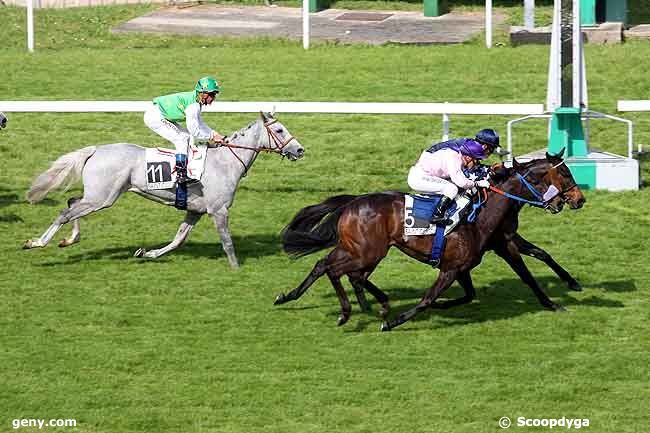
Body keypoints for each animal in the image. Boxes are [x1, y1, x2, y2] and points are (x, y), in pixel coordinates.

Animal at [22, 111, 302, 266]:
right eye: (279, 130)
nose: (300, 150)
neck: (226, 162)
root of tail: (96, 150)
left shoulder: (195, 210)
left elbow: (179, 239)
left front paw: (146, 253)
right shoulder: (218, 210)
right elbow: (227, 242)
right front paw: (236, 268)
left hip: (96, 195)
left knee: (71, 203)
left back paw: (69, 239)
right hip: (103, 198)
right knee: (65, 213)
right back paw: (36, 242)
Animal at [270, 152, 584, 330]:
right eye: (563, 173)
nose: (576, 200)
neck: (481, 213)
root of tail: (352, 202)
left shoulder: (481, 254)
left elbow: (533, 261)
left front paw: (565, 291)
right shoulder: (459, 264)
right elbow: (427, 299)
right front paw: (392, 323)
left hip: (358, 249)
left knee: (328, 265)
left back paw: (295, 296)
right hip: (368, 252)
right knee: (338, 270)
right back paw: (355, 310)